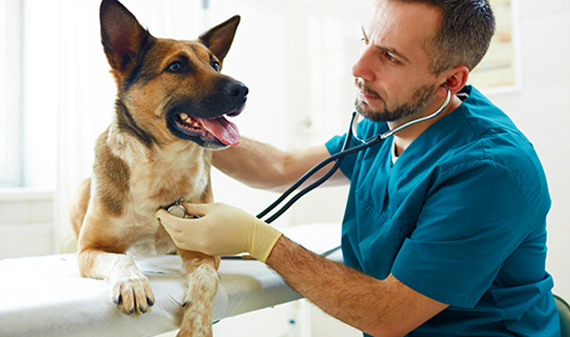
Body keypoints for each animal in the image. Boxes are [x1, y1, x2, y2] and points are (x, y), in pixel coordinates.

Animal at [67, 1, 247, 334]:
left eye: (215, 64)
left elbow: (207, 278)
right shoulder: (90, 250)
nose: (243, 90)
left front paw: (196, 325)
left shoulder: (202, 250)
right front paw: (132, 283)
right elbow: (121, 260)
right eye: (176, 66)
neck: (163, 163)